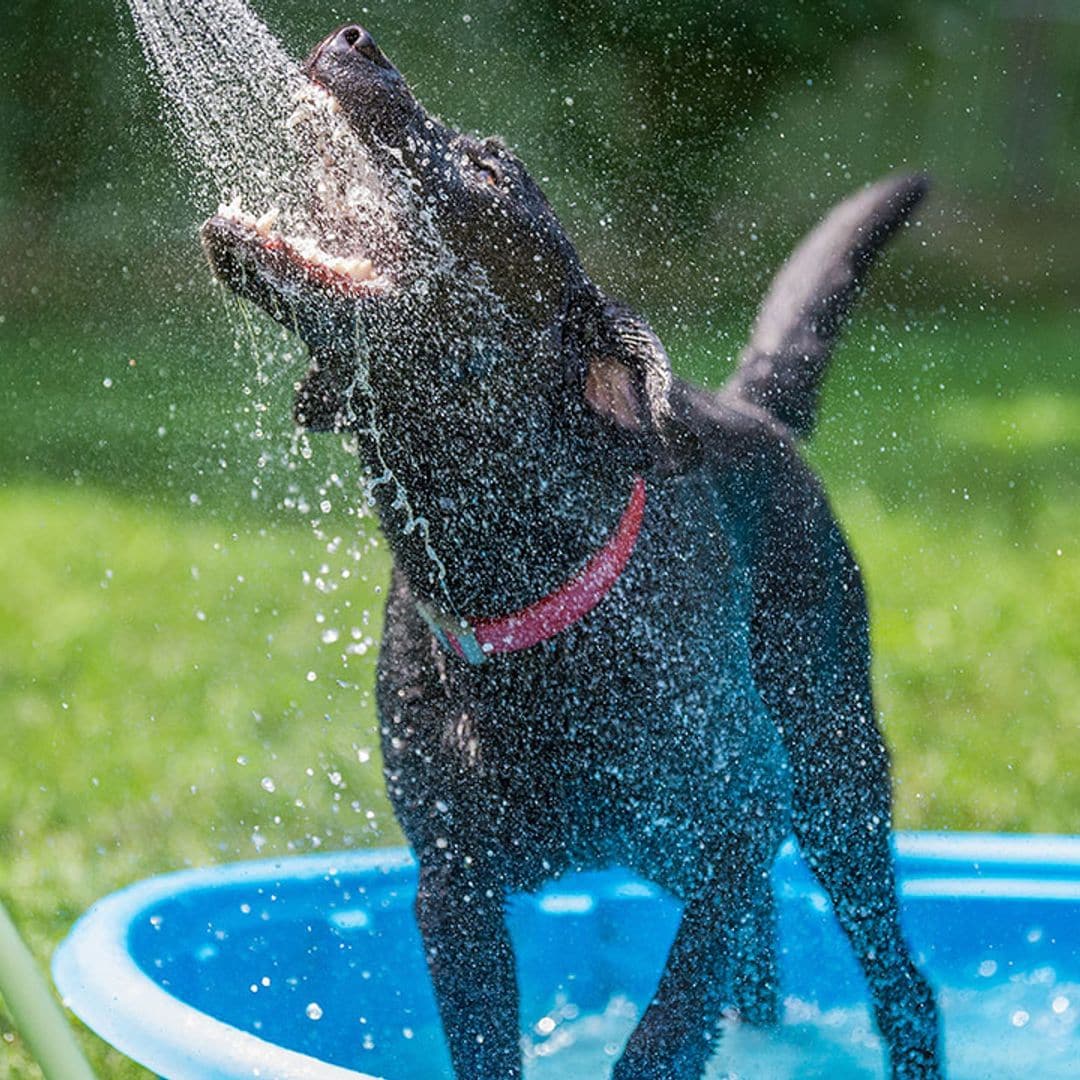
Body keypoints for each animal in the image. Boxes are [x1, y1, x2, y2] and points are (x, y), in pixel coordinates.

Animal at [204, 25, 946, 1080]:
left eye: (488, 169)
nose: (356, 38)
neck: (511, 577)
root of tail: (753, 410)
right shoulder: (454, 887)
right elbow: (495, 1041)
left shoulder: (740, 809)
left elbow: (663, 1028)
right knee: (760, 952)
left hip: (831, 779)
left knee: (898, 983)